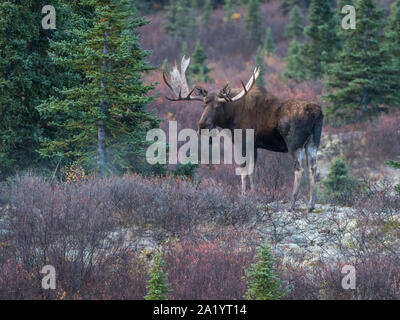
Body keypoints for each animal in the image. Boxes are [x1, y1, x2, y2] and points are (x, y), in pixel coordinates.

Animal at [164, 57, 324, 212]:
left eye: (219, 106)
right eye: (203, 105)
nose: (202, 126)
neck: (230, 118)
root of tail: (317, 113)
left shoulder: (243, 142)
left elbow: (243, 171)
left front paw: (244, 196)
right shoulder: (254, 146)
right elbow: (252, 171)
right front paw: (253, 194)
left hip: (294, 143)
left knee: (299, 169)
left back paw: (292, 204)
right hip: (313, 142)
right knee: (313, 167)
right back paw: (311, 204)